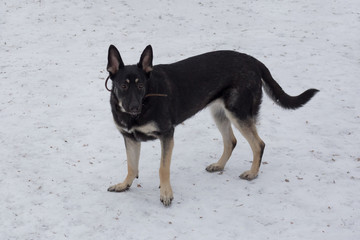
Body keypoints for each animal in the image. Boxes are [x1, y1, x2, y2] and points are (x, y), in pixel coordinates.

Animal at [105, 45, 320, 206]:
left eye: (141, 85)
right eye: (123, 86)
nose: (134, 107)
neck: (146, 101)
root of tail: (254, 61)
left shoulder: (167, 134)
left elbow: (163, 168)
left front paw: (166, 194)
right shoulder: (130, 138)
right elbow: (132, 166)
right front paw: (124, 185)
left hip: (238, 113)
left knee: (258, 144)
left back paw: (252, 173)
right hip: (220, 113)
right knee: (231, 141)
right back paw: (219, 165)